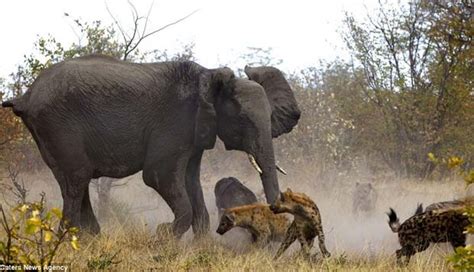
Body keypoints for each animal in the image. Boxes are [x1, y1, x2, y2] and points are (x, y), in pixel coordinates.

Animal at [2, 54, 300, 237]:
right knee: (76, 180)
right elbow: (159, 176)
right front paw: (163, 237)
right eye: (242, 119)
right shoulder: (175, 122)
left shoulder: (194, 132)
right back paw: (72, 239)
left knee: (75, 179)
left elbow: (191, 181)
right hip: (58, 126)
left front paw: (200, 246)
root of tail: (25, 97)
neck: (209, 76)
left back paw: (91, 238)